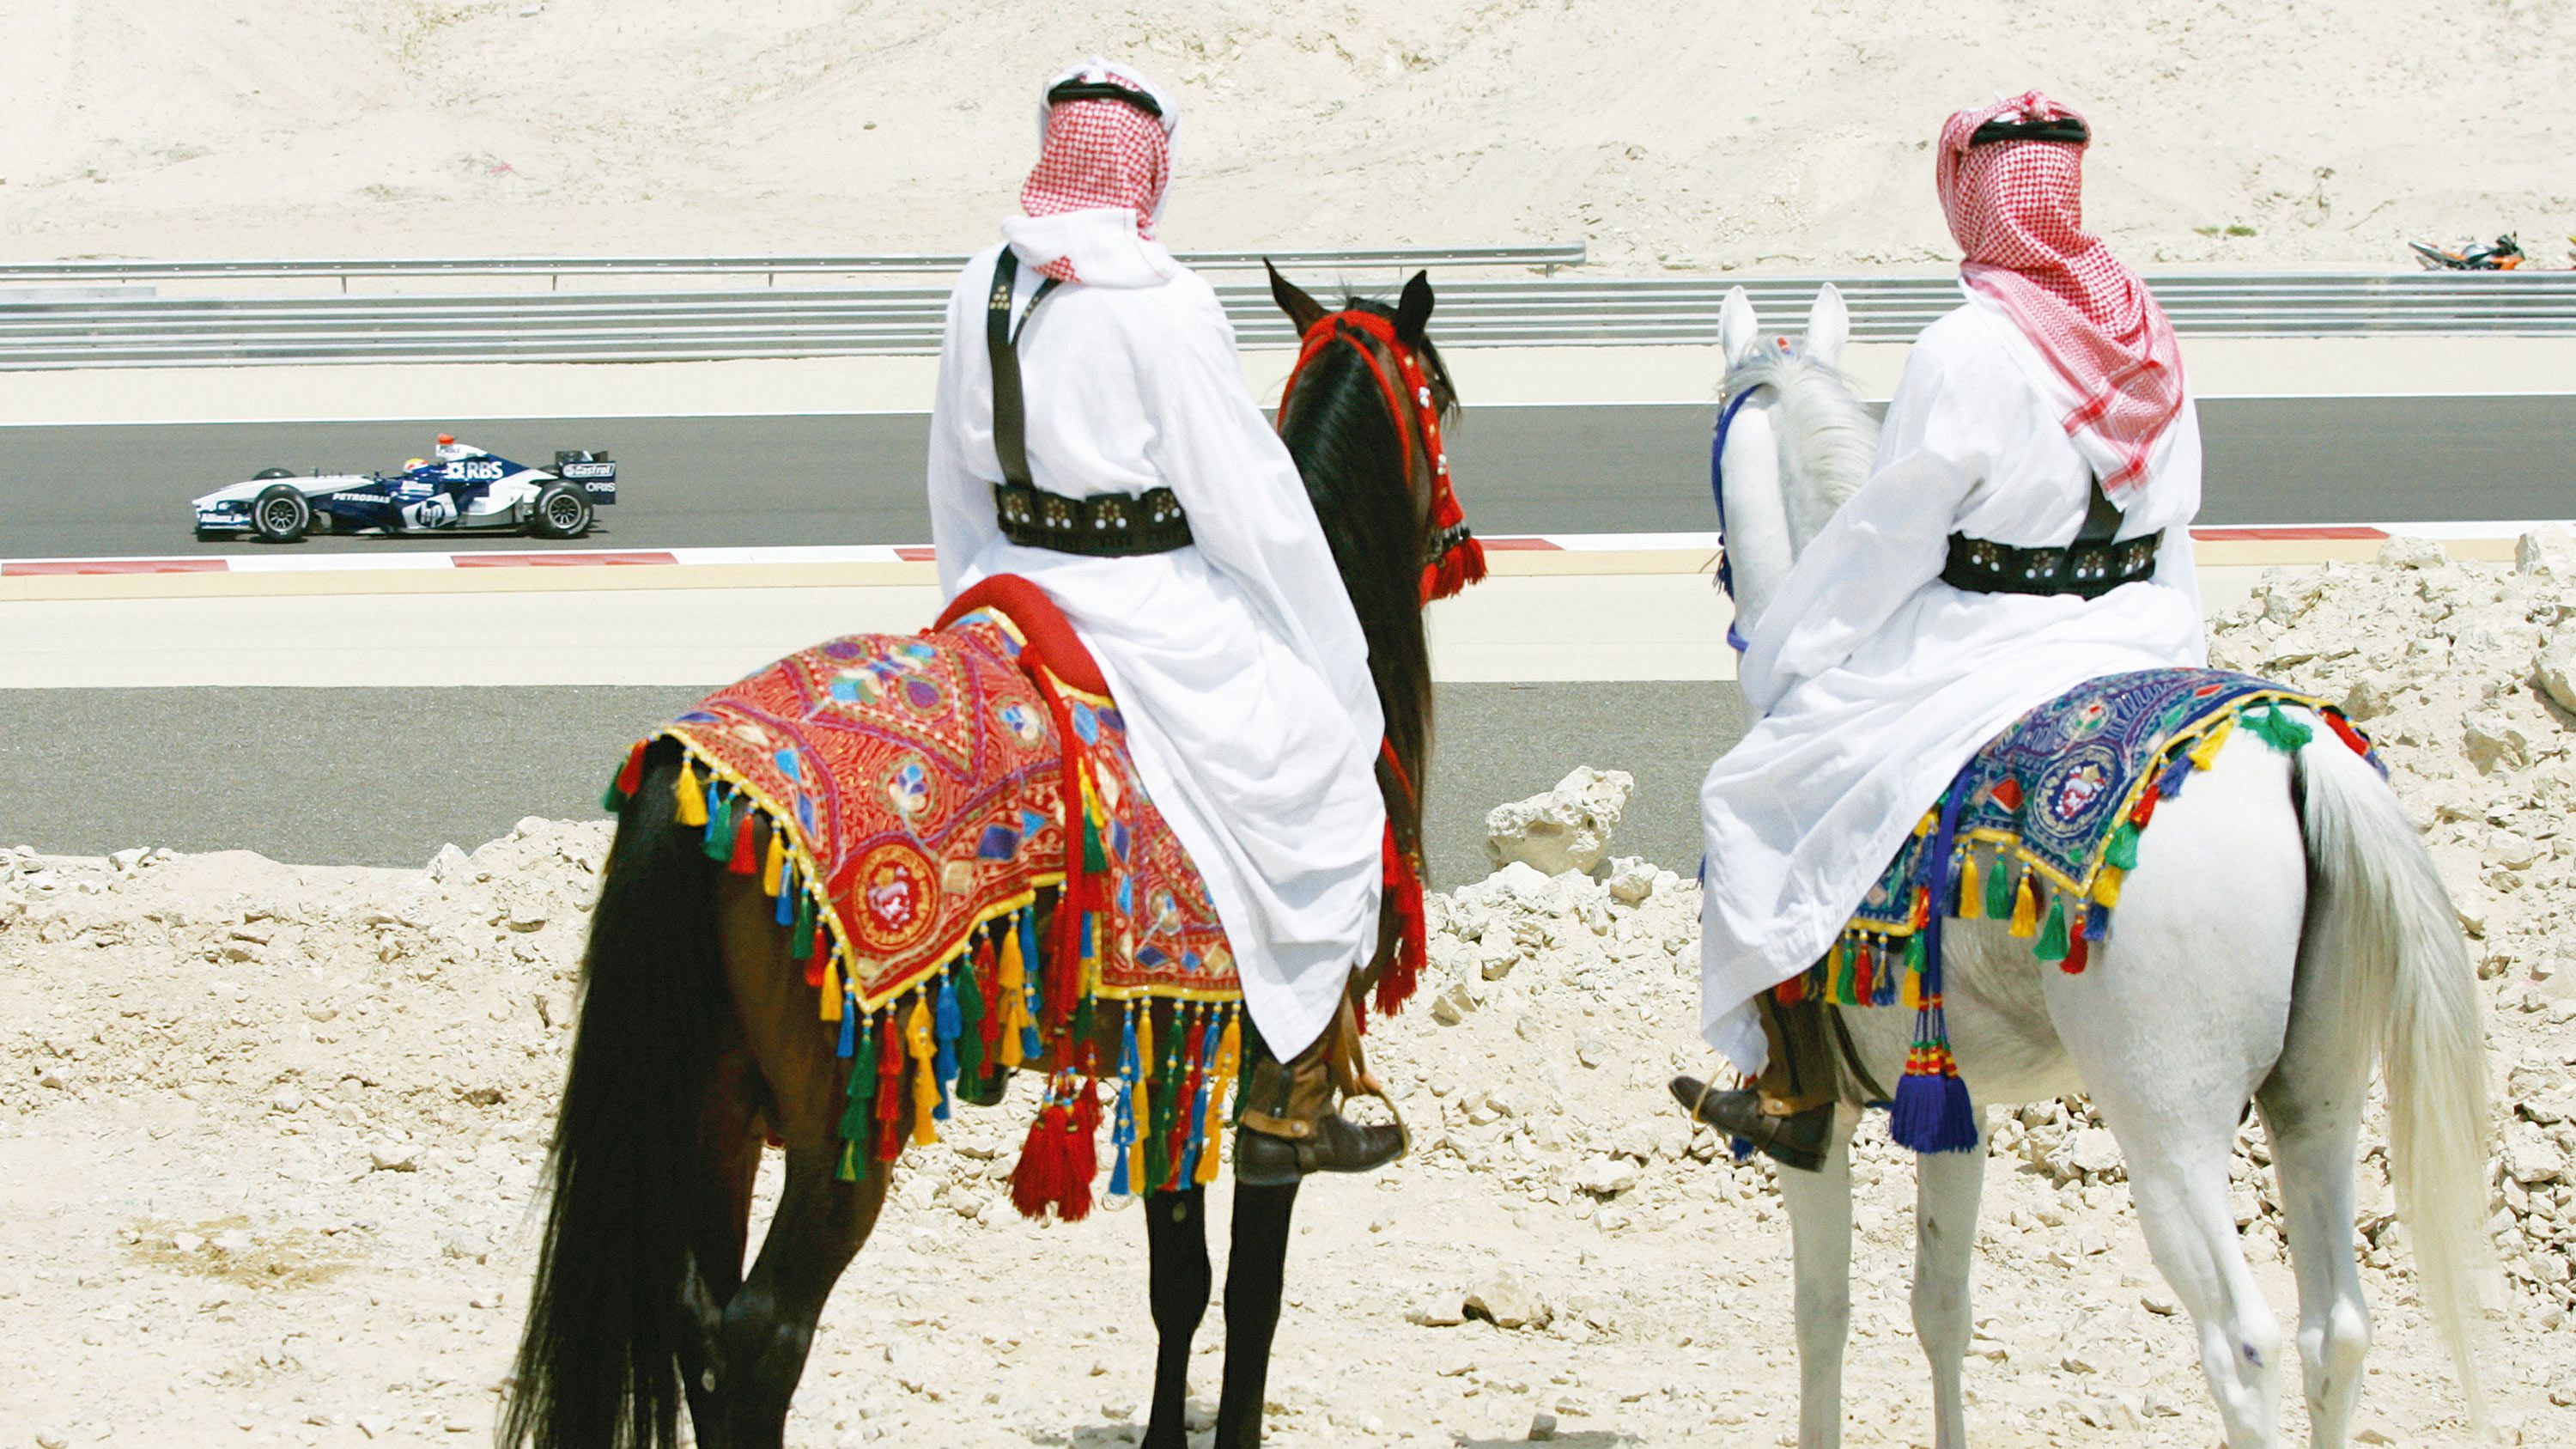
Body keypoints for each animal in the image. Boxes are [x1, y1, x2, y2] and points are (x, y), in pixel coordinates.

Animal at [498, 265, 1462, 1449]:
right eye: (1444, 398)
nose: (1455, 543)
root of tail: (692, 773)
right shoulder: (1262, 1068)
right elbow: (1254, 1293)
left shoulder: (1172, 1042)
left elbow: (1181, 1283)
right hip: (831, 1134)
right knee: (761, 1334)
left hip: (714, 1106)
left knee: (695, 1315)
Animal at [1696, 283, 2495, 1449]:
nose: (1733, 605)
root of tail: (2299, 761)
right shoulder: (1956, 1107)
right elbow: (1941, 1304)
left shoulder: (1822, 1116)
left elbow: (1823, 1315)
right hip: (2320, 1096)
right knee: (2335, 1330)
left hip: (2169, 1119)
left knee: (2245, 1346)